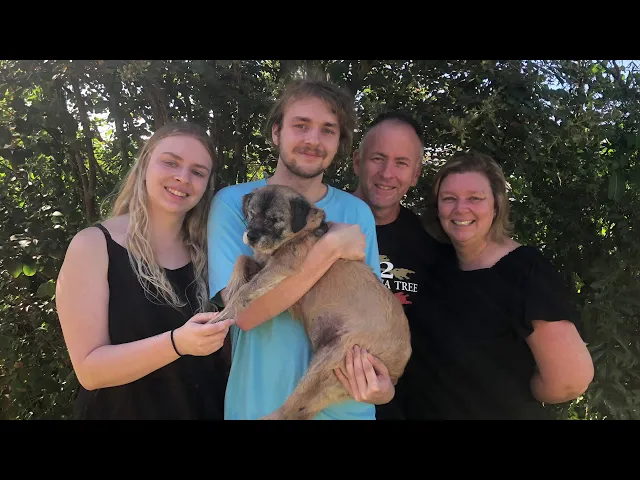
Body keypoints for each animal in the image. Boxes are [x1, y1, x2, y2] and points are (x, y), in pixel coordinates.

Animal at [209, 184, 412, 420]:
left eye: (274, 219)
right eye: (251, 214)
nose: (251, 236)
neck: (300, 233)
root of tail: (396, 370)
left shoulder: (280, 267)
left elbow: (246, 291)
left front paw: (224, 314)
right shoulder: (264, 265)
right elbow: (242, 261)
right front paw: (232, 288)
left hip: (331, 358)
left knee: (288, 410)